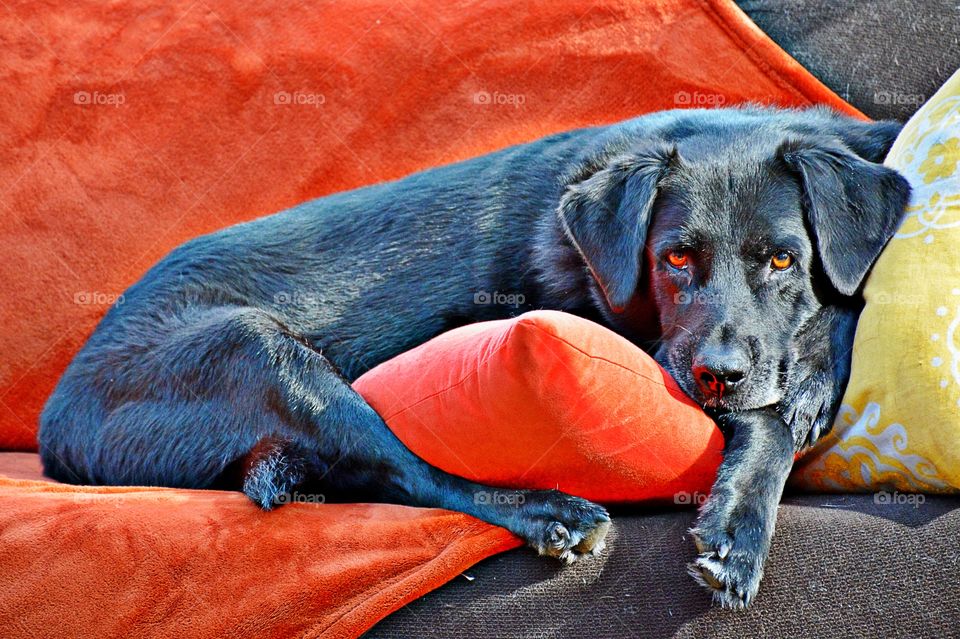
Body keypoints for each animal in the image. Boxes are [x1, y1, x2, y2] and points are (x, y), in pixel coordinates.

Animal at [37, 107, 908, 608]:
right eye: (675, 260)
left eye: (785, 259)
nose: (715, 376)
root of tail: (54, 421)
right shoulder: (639, 340)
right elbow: (766, 417)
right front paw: (742, 519)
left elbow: (833, 317)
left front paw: (812, 371)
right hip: (256, 349)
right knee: (410, 472)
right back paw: (550, 511)